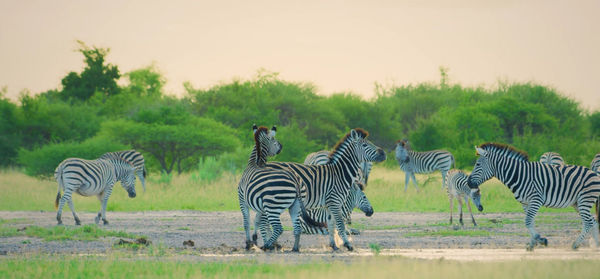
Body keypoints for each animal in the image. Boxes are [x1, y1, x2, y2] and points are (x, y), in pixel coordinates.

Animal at [468, 142, 600, 252]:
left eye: (478, 164)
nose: (469, 183)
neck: (519, 175)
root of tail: (594, 173)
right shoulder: (526, 203)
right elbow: (530, 222)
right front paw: (532, 244)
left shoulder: (536, 200)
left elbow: (527, 221)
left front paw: (540, 240)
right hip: (577, 203)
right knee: (592, 221)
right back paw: (596, 245)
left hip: (584, 200)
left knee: (588, 222)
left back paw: (576, 245)